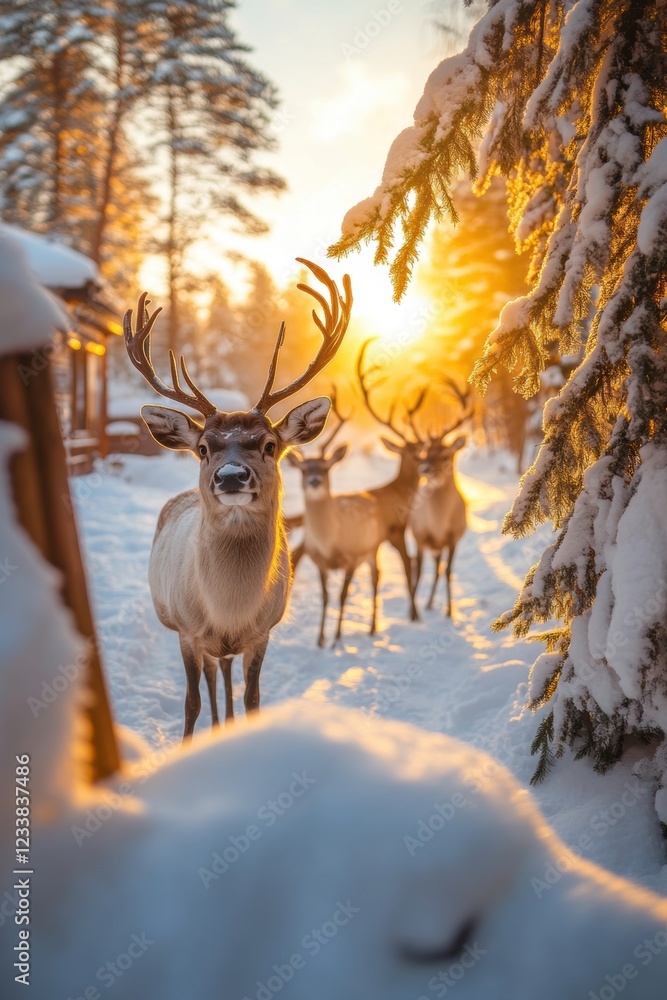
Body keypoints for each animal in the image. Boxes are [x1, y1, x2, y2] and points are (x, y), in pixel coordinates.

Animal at [122, 259, 352, 739]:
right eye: (202, 448)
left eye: (269, 444)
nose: (230, 477)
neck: (229, 609)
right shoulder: (187, 631)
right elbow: (190, 703)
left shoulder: (262, 632)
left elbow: (253, 700)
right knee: (213, 679)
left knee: (225, 677)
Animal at [287, 388, 384, 647]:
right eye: (303, 470)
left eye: (326, 468)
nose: (314, 481)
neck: (330, 543)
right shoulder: (318, 561)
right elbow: (325, 596)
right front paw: (320, 639)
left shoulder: (352, 558)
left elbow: (342, 595)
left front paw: (337, 638)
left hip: (372, 547)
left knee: (376, 577)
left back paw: (372, 627)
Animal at [410, 379, 472, 617]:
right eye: (424, 452)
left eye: (446, 455)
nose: (424, 469)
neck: (438, 525)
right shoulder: (419, 537)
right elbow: (417, 574)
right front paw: (412, 613)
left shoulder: (454, 537)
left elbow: (448, 571)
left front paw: (449, 611)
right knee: (431, 569)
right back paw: (425, 605)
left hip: (441, 547)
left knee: (439, 569)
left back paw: (431, 604)